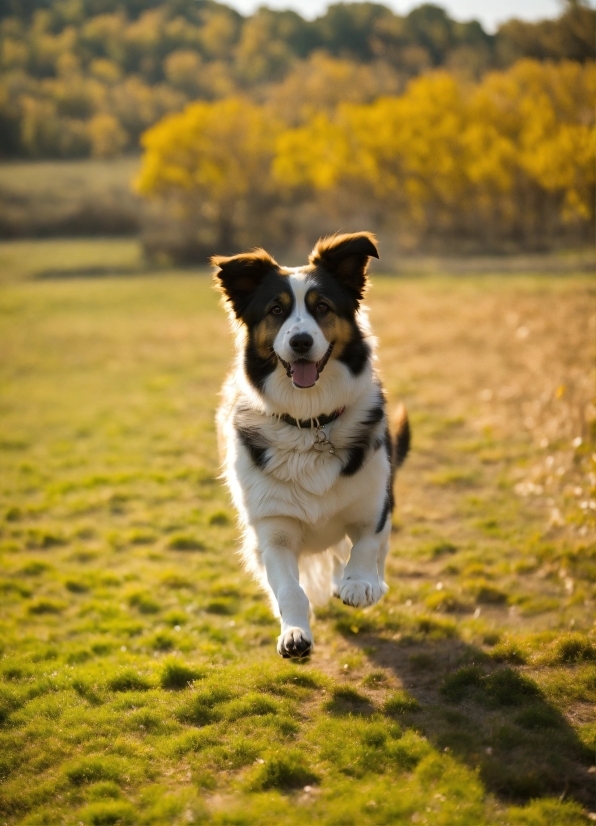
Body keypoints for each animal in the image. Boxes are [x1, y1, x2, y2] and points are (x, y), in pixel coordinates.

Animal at [213, 230, 410, 656]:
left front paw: (360, 583)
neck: (310, 422)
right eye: (276, 310)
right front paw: (295, 634)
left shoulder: (376, 502)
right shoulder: (273, 531)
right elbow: (290, 590)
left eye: (322, 307)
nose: (301, 342)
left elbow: (368, 544)